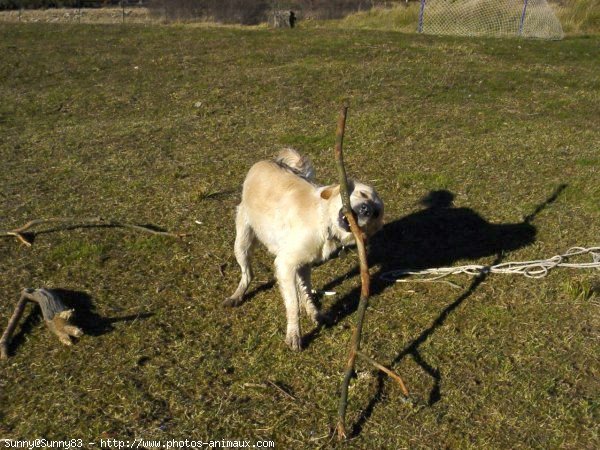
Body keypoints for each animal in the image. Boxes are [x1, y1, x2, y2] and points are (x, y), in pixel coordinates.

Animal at [225, 149, 384, 352]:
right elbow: (293, 304)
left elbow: (305, 292)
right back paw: (237, 296)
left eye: (376, 213)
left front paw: (315, 314)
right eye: (363, 194)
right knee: (248, 273)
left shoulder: (302, 263)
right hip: (242, 242)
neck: (324, 221)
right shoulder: (285, 263)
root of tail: (267, 161)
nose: (366, 210)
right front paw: (294, 334)